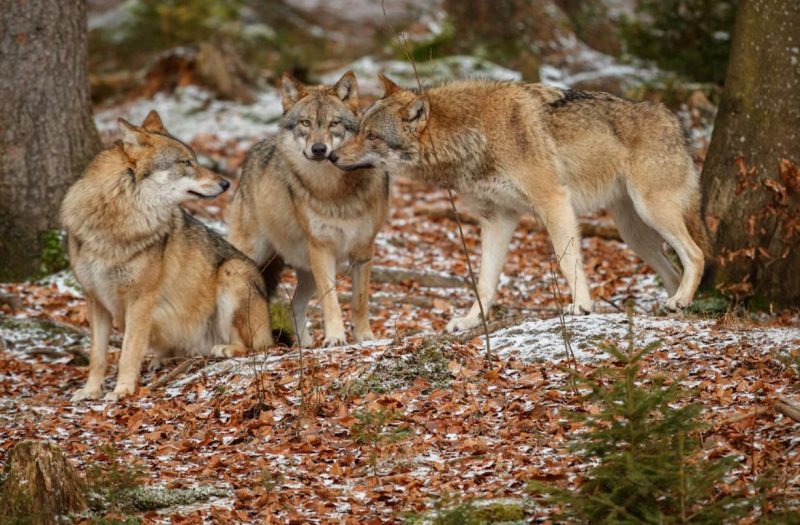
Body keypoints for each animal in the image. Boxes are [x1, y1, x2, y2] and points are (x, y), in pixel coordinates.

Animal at [61, 108, 274, 400]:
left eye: (195, 160)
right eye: (186, 162)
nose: (226, 183)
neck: (117, 221)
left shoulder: (140, 300)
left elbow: (128, 353)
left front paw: (122, 391)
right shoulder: (96, 300)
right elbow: (98, 356)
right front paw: (91, 391)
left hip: (233, 273)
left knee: (257, 346)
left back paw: (224, 348)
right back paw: (162, 359)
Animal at [227, 71, 390, 346]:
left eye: (334, 123)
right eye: (305, 123)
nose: (319, 149)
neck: (334, 191)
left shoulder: (364, 250)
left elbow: (360, 301)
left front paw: (365, 336)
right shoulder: (322, 249)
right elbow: (331, 301)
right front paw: (335, 338)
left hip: (306, 270)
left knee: (294, 306)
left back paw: (305, 345)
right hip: (253, 257)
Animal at [332, 75, 712, 332]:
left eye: (372, 136)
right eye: (358, 128)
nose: (332, 156)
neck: (474, 135)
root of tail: (674, 120)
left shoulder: (553, 202)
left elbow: (567, 260)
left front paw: (581, 306)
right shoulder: (497, 219)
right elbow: (485, 282)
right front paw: (471, 321)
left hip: (652, 212)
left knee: (696, 255)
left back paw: (680, 300)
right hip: (633, 233)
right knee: (672, 269)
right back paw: (672, 308)